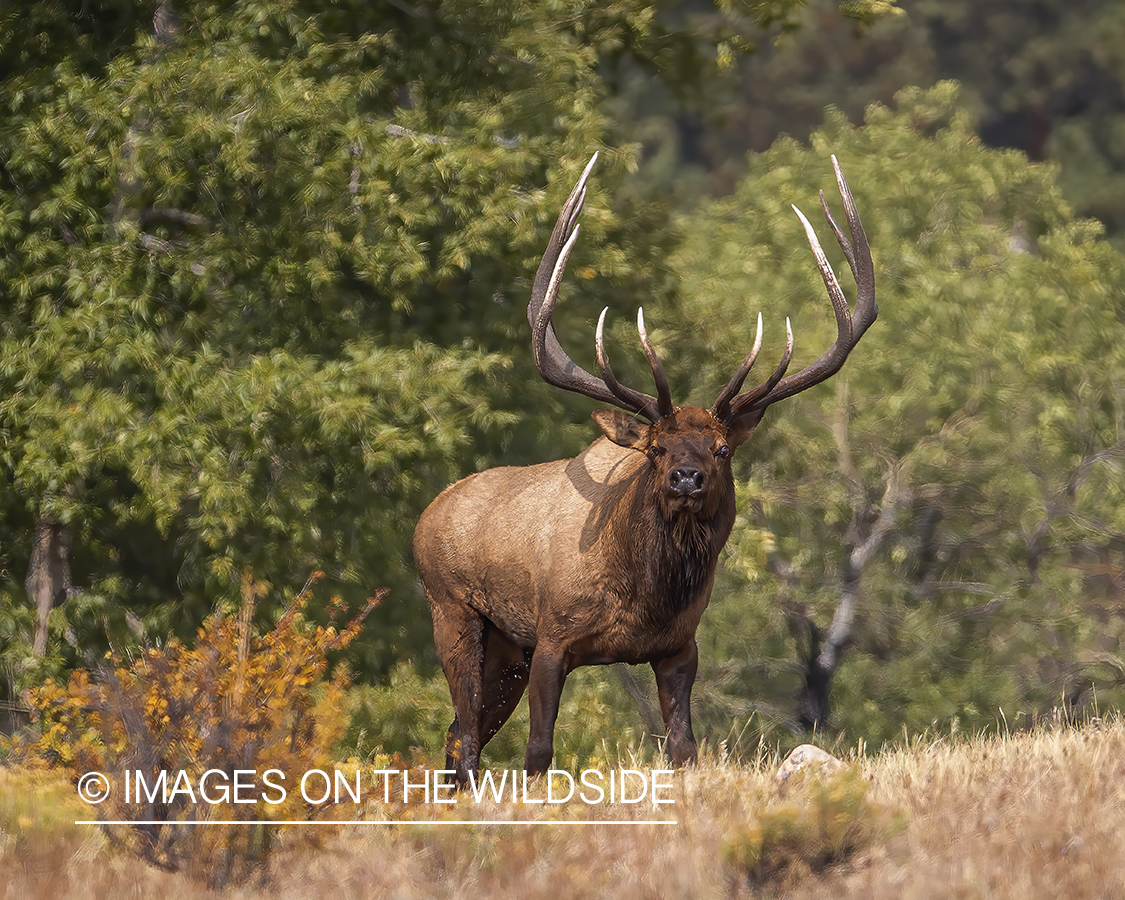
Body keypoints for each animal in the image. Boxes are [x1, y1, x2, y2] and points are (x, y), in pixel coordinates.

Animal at [416, 150, 877, 783]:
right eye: (657, 449)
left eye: (722, 449)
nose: (687, 477)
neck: (644, 597)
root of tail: (424, 520)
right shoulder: (551, 637)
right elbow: (539, 753)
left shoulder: (681, 647)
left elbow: (685, 749)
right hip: (455, 613)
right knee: (463, 736)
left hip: (506, 651)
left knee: (456, 734)